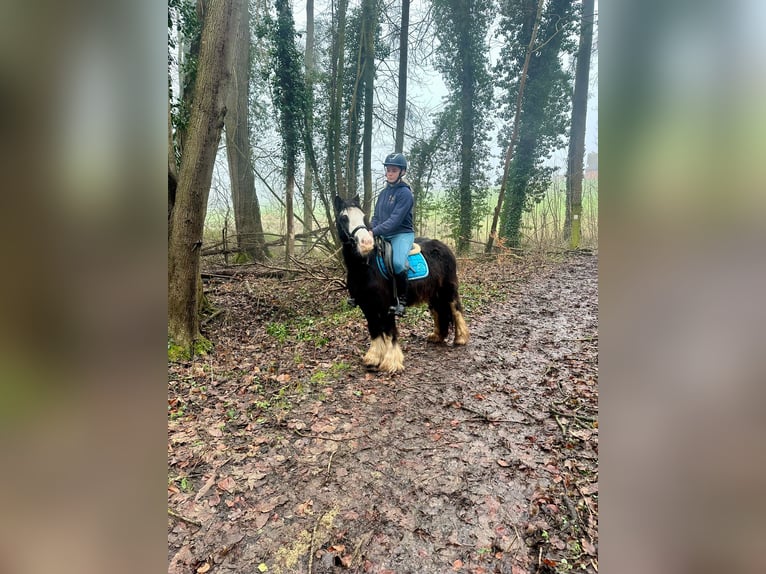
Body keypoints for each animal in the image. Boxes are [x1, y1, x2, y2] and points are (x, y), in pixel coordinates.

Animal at [334, 195, 472, 374]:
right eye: (344, 218)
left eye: (363, 217)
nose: (366, 243)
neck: (366, 266)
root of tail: (444, 247)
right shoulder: (367, 306)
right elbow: (375, 329)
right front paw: (373, 358)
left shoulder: (387, 305)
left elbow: (390, 331)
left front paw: (391, 362)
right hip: (434, 294)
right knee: (438, 311)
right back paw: (436, 336)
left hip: (449, 290)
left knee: (456, 310)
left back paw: (461, 338)